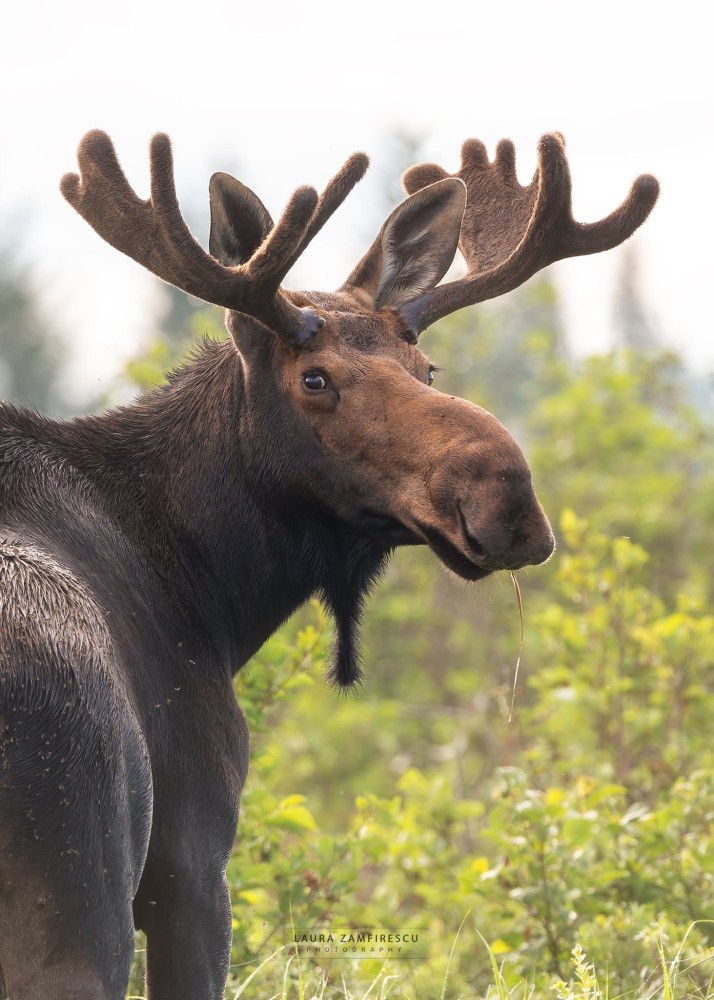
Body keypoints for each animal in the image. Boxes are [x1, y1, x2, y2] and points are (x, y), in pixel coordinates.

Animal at [0, 129, 658, 999]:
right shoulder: (193, 861)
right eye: (315, 378)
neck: (212, 597)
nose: (509, 496)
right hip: (80, 894)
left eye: (427, 371)